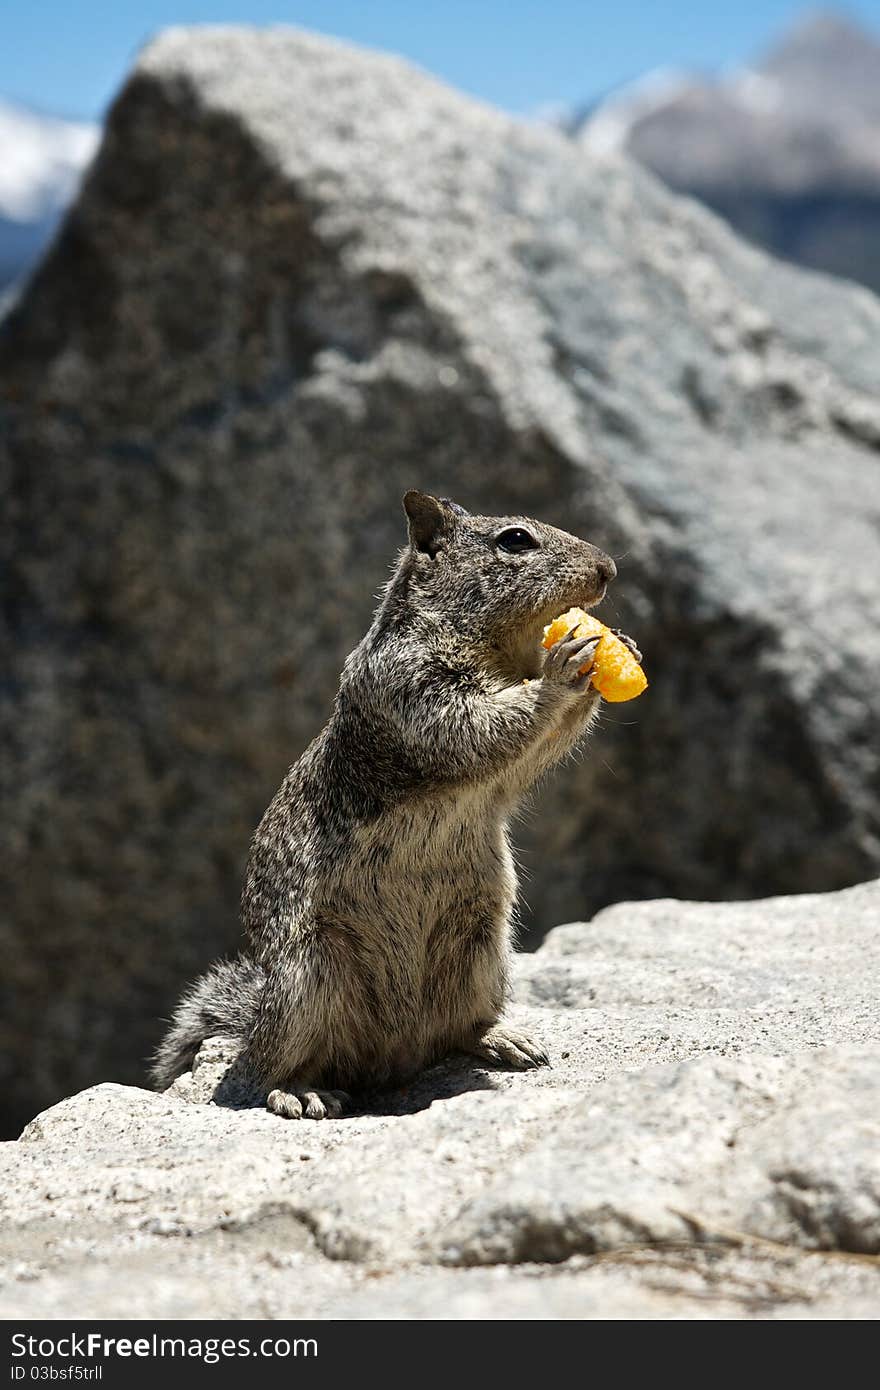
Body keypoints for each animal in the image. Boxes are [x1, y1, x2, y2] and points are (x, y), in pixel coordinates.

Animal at [152, 492, 631, 1117]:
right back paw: (297, 1091)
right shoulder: (410, 687)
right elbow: (480, 726)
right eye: (515, 540)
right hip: (309, 979)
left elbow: (527, 753)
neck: (498, 650)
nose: (609, 569)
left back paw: (503, 1039)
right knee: (268, 1067)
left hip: (481, 945)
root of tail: (388, 1058)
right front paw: (563, 669)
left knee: (452, 1031)